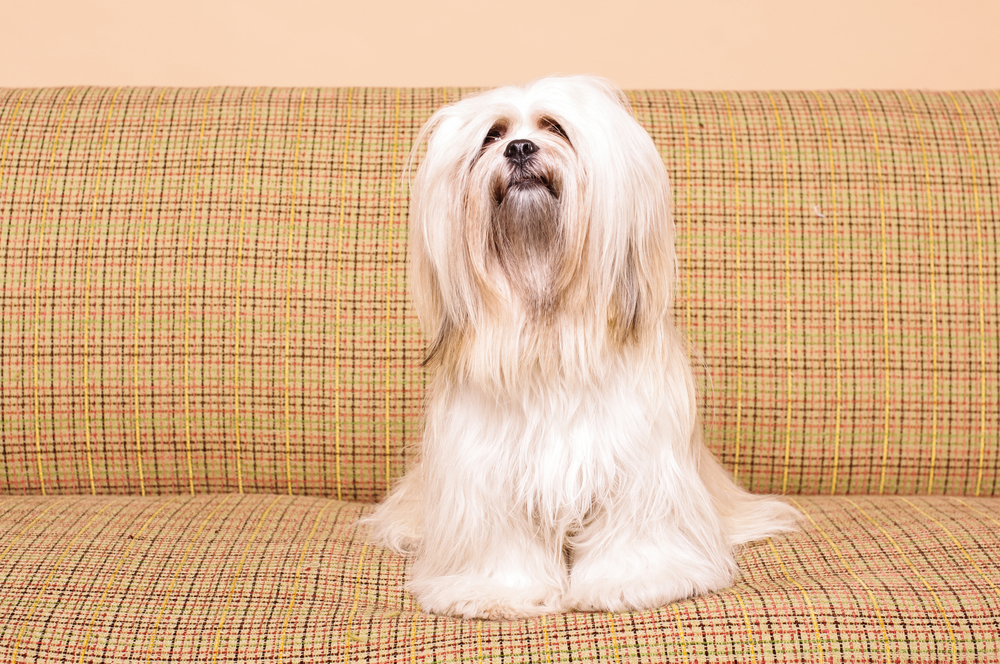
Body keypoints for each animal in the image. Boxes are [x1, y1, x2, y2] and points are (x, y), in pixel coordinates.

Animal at [364, 75, 800, 620]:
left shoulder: (637, 461)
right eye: (491, 136)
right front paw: (496, 590)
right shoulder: (486, 472)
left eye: (555, 128)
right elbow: (501, 540)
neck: (549, 330)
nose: (519, 147)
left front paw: (633, 580)